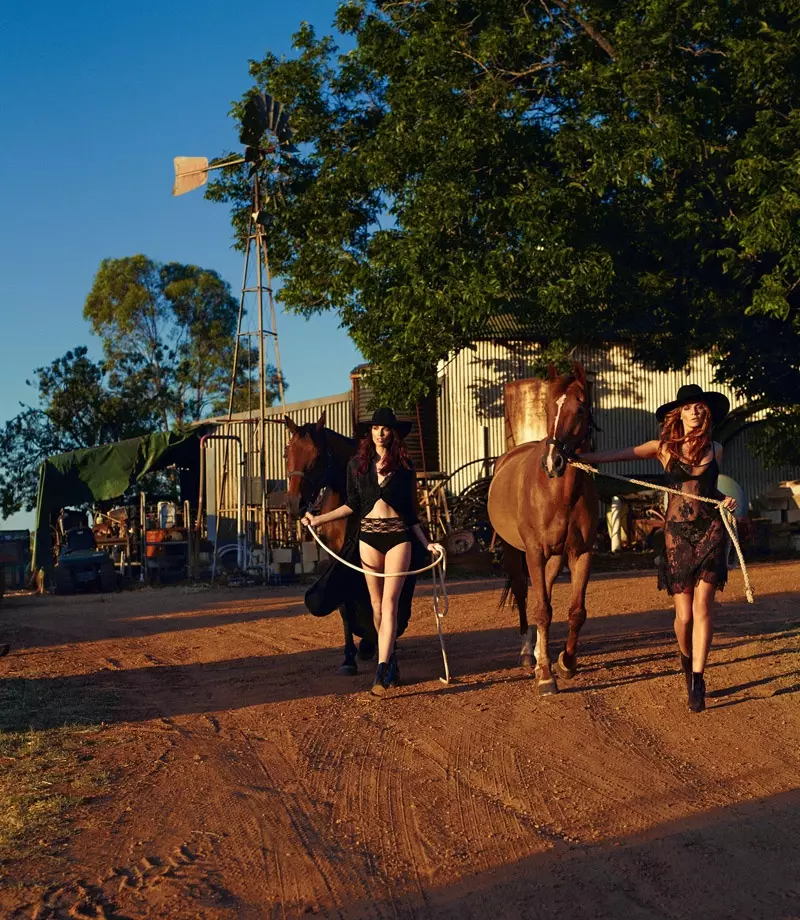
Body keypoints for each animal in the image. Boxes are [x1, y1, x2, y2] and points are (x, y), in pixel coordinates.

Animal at [284, 416, 378, 676]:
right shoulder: (337, 558)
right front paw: (349, 658)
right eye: (286, 454)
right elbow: (345, 606)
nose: (295, 504)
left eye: (317, 455)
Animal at [488, 362, 600, 692]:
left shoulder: (581, 554)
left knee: (545, 594)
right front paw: (547, 676)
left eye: (581, 408)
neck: (558, 494)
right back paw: (530, 654)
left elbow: (575, 612)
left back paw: (541, 654)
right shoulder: (534, 553)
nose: (554, 462)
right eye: (549, 407)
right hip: (515, 553)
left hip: (555, 557)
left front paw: (566, 662)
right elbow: (541, 609)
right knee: (526, 597)